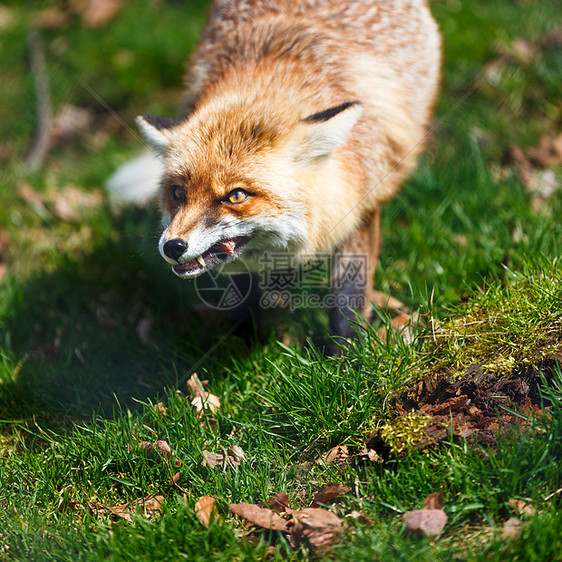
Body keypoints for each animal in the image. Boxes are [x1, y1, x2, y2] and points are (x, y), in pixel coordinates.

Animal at [109, 0, 440, 350]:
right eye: (178, 193)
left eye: (236, 195)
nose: (172, 247)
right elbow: (245, 290)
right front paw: (246, 341)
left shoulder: (361, 200)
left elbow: (348, 298)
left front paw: (345, 356)